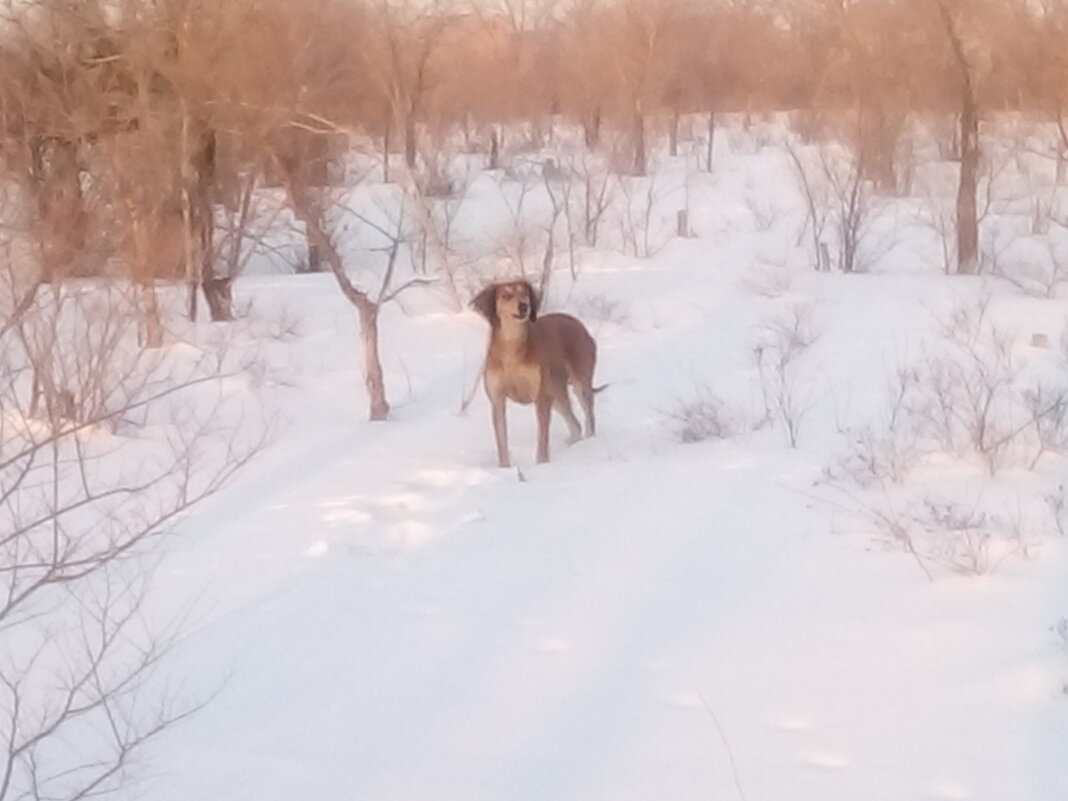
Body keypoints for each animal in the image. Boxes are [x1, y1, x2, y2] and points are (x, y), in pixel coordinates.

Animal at [472, 284, 598, 467]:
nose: (524, 306)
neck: (511, 349)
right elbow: (502, 440)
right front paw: (504, 467)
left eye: (524, 293)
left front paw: (542, 463)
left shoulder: (541, 396)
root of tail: (579, 325)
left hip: (578, 383)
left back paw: (589, 442)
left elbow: (542, 437)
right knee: (575, 425)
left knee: (589, 416)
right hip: (556, 392)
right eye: (505, 295)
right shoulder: (497, 400)